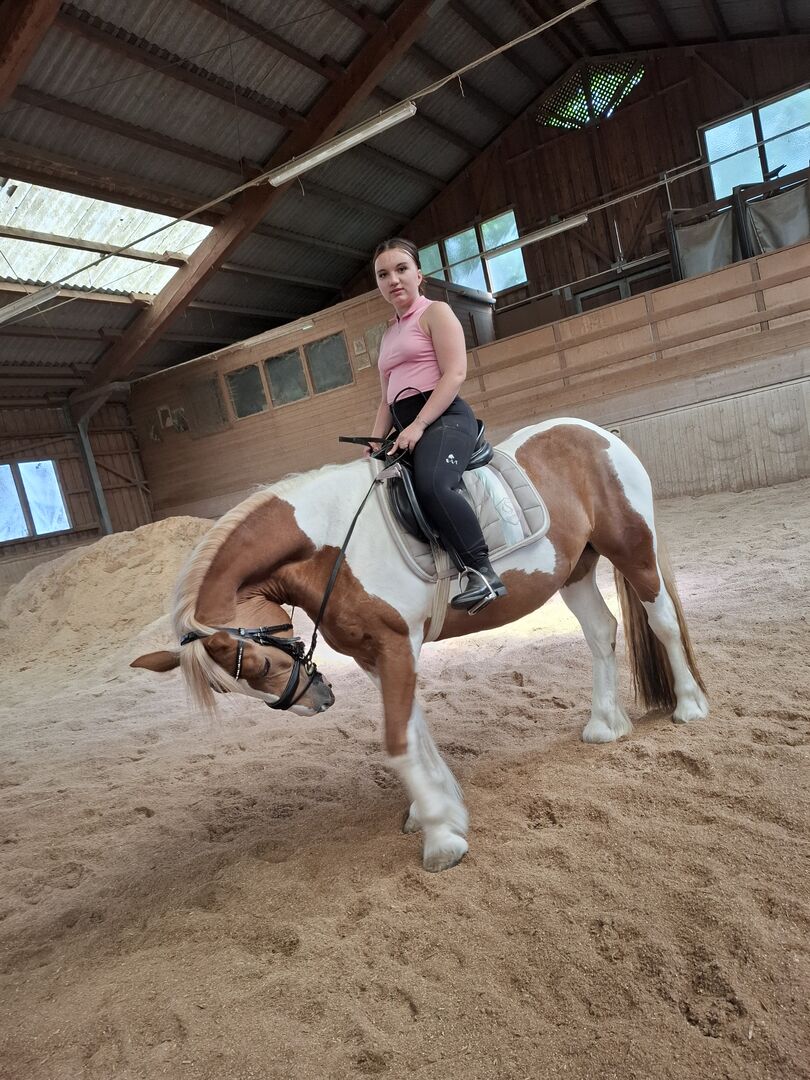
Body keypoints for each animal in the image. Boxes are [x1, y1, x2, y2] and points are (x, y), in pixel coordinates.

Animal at [132, 418, 708, 873]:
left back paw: (688, 706)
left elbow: (397, 741)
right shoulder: (374, 654)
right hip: (576, 569)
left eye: (255, 663)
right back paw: (605, 724)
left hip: (632, 548)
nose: (317, 701)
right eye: (231, 686)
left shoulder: (394, 645)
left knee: (661, 621)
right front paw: (438, 809)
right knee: (600, 632)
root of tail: (596, 433)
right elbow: (412, 727)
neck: (332, 544)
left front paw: (440, 838)